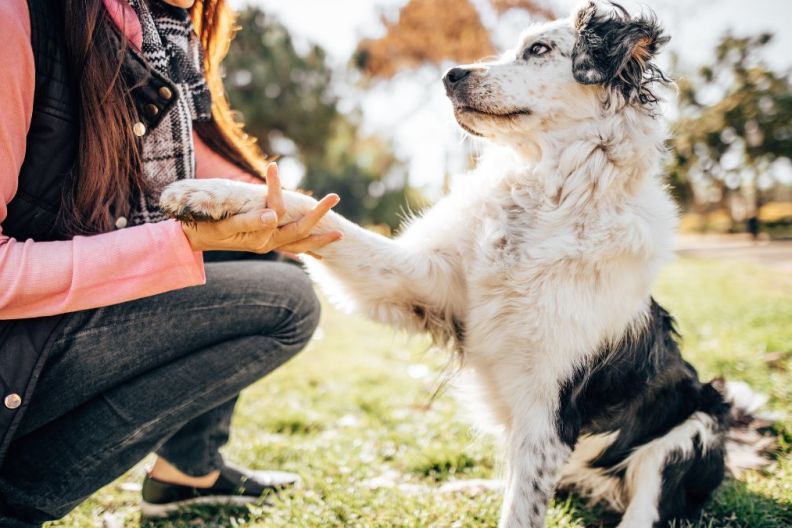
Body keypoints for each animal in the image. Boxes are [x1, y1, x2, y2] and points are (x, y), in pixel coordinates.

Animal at [159, 2, 768, 524]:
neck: (545, 193)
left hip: (691, 431)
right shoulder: (422, 285)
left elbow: (521, 511)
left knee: (643, 506)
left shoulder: (548, 411)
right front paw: (211, 194)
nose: (450, 75)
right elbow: (318, 213)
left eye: (539, 49)